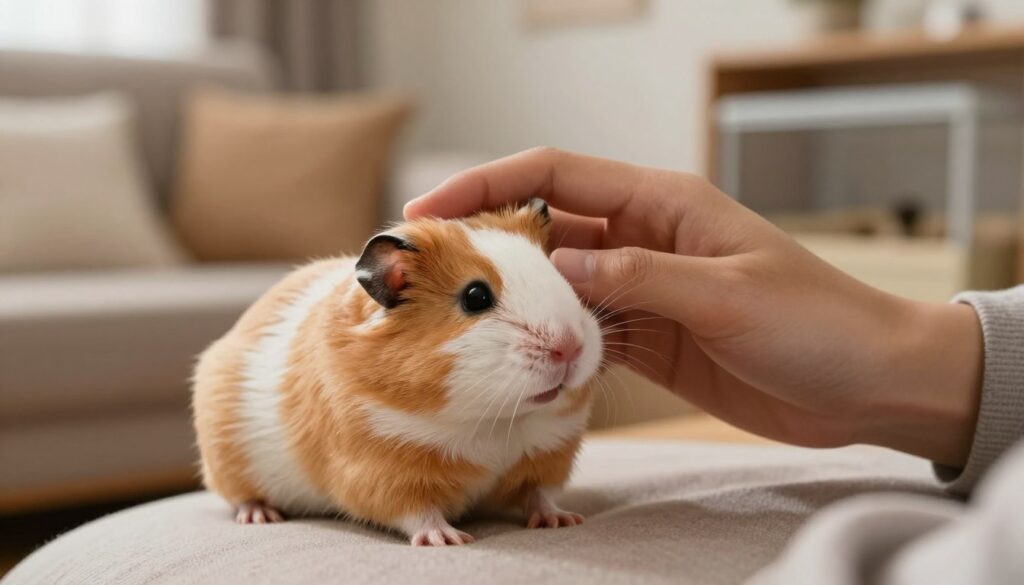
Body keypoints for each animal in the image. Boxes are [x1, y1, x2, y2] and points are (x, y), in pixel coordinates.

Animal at [192, 198, 603, 546]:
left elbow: (540, 496)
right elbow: (416, 513)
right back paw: (261, 516)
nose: (570, 347)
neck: (495, 422)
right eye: (475, 297)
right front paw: (449, 540)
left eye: (560, 275)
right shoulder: (382, 471)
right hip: (227, 462)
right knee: (240, 497)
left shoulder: (548, 453)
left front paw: (563, 520)